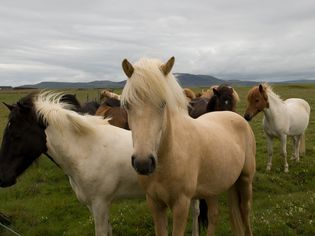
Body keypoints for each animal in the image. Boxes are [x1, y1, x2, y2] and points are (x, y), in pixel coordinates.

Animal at [121, 57, 256, 236]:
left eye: (163, 103)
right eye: (127, 105)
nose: (143, 163)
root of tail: (236, 117)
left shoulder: (181, 205)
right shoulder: (155, 204)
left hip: (245, 180)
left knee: (245, 211)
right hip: (212, 187)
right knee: (214, 215)